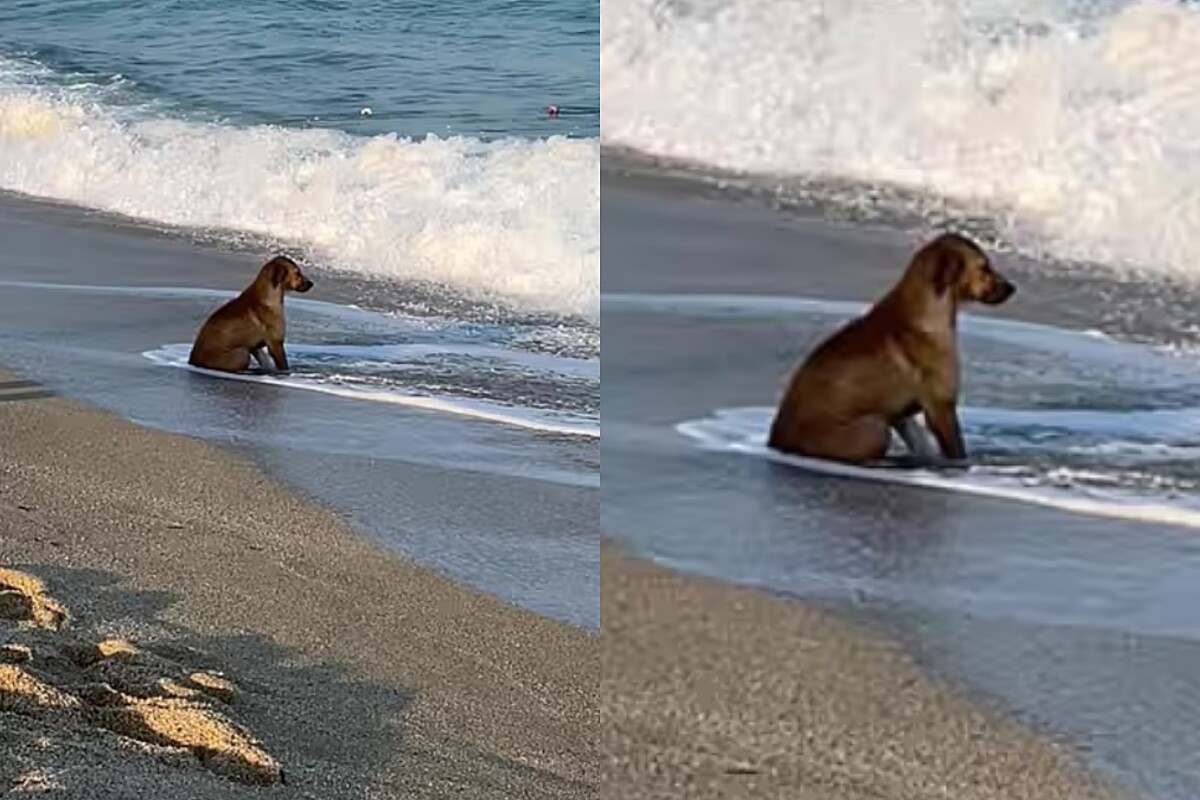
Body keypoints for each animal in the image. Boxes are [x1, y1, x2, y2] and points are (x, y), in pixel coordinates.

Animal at [184, 256, 312, 376]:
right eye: (297, 273)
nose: (312, 283)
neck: (270, 293)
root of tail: (192, 361)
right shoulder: (276, 344)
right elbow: (283, 366)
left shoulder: (257, 348)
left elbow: (267, 362)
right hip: (242, 354)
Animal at [768, 231, 1012, 465]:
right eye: (984, 267)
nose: (1013, 288)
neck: (929, 306)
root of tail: (775, 442)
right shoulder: (941, 408)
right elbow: (957, 452)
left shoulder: (903, 417)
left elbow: (923, 445)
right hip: (875, 427)